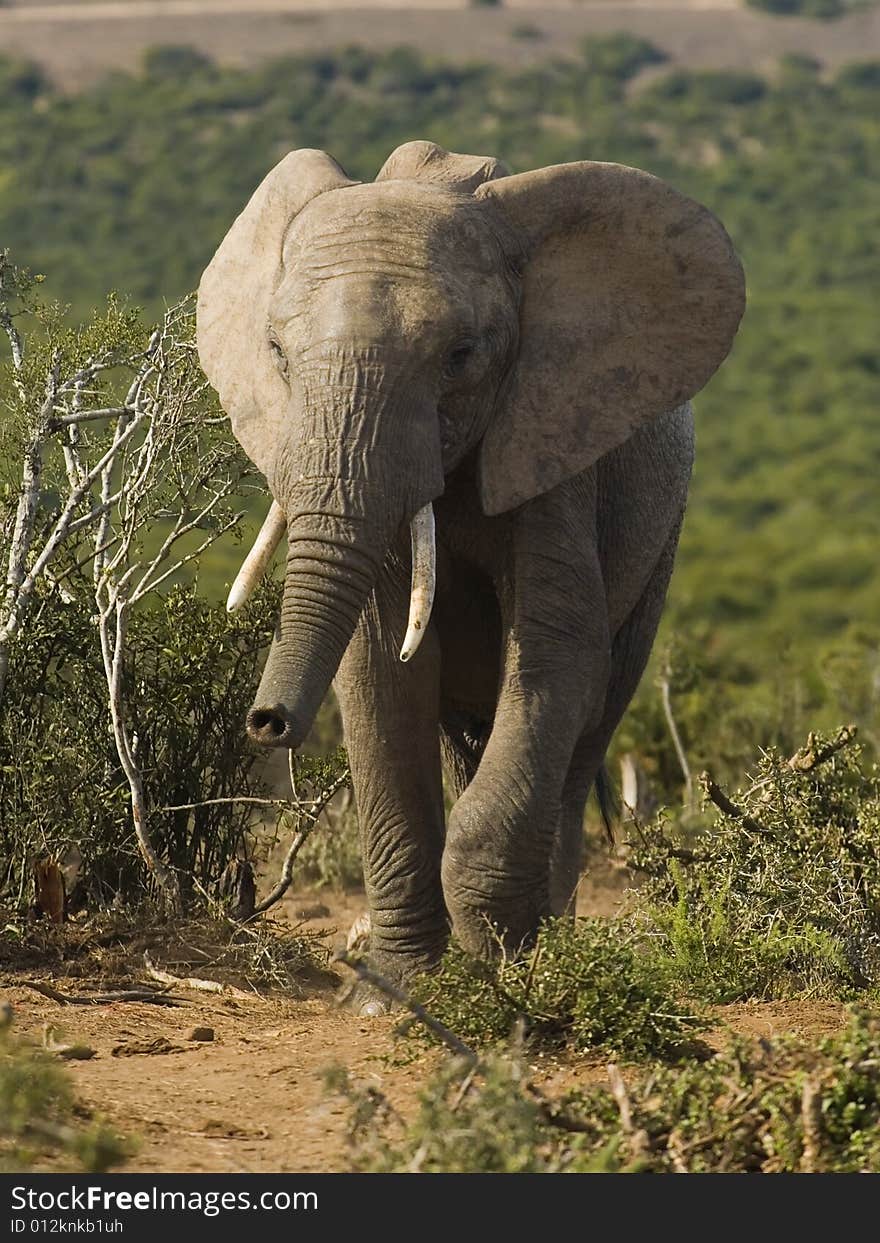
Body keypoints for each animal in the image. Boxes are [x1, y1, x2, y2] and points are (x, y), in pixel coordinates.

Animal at [196, 138, 745, 1009]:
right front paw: (393, 994)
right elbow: (379, 669)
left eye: (461, 356)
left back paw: (550, 944)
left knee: (589, 727)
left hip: (661, 543)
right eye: (277, 354)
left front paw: (502, 979)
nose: (268, 721)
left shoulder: (555, 441)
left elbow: (557, 655)